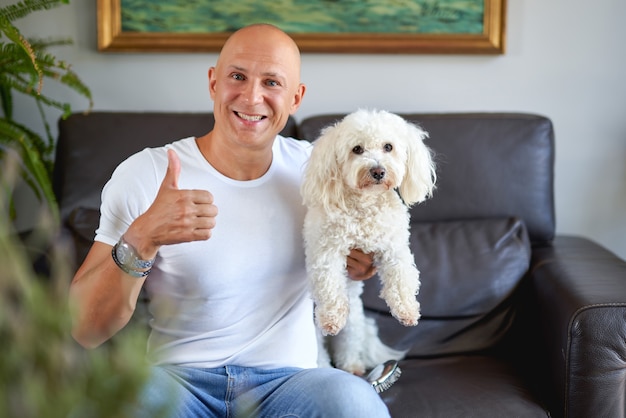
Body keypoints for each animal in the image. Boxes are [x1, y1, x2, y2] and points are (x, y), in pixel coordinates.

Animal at [302, 109, 434, 374]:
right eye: (357, 149)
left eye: (388, 147)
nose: (378, 171)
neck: (365, 205)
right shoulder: (326, 252)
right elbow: (330, 285)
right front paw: (332, 318)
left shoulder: (394, 248)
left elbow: (402, 278)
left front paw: (407, 309)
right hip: (317, 330)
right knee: (321, 352)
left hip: (354, 322)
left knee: (349, 343)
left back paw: (352, 366)